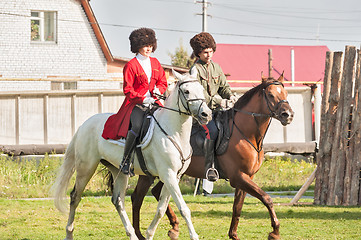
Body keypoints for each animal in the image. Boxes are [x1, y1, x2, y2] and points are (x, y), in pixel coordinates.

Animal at [52, 70, 212, 240]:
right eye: (187, 91)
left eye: (202, 89)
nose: (206, 114)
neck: (173, 132)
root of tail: (84, 124)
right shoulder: (168, 174)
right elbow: (183, 208)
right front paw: (193, 235)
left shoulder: (175, 176)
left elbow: (161, 209)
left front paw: (149, 234)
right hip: (86, 168)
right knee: (75, 197)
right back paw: (69, 233)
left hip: (119, 170)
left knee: (118, 201)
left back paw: (132, 234)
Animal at [129, 74, 292, 239]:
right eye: (271, 95)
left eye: (286, 94)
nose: (288, 115)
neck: (245, 133)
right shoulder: (238, 177)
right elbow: (267, 198)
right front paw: (275, 231)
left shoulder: (247, 177)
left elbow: (237, 207)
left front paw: (233, 234)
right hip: (151, 174)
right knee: (137, 199)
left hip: (168, 174)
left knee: (155, 193)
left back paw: (174, 227)